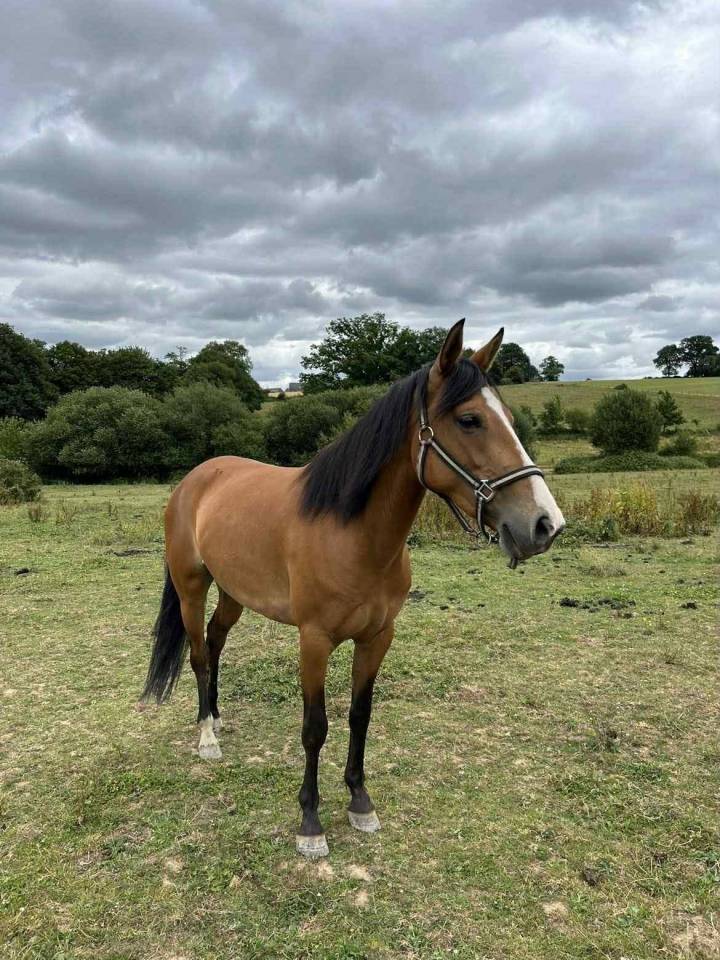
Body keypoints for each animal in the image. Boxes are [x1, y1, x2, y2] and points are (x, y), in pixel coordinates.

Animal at [141, 320, 565, 857]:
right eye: (470, 420)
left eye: (508, 417)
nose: (544, 524)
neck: (353, 535)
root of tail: (194, 480)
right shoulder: (314, 640)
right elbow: (314, 728)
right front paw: (310, 822)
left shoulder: (377, 637)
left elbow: (360, 715)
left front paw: (360, 802)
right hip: (192, 587)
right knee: (198, 654)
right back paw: (206, 739)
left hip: (234, 593)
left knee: (216, 643)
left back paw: (215, 718)